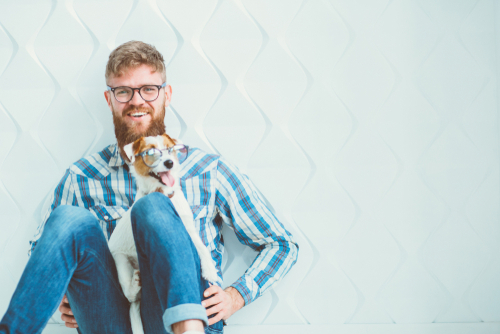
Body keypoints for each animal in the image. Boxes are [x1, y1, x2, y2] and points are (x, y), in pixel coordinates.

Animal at [107, 134, 219, 332]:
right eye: (150, 152)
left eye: (170, 149)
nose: (169, 163)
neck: (164, 195)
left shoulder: (189, 228)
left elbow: (202, 248)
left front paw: (210, 270)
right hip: (120, 261)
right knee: (129, 294)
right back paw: (134, 285)